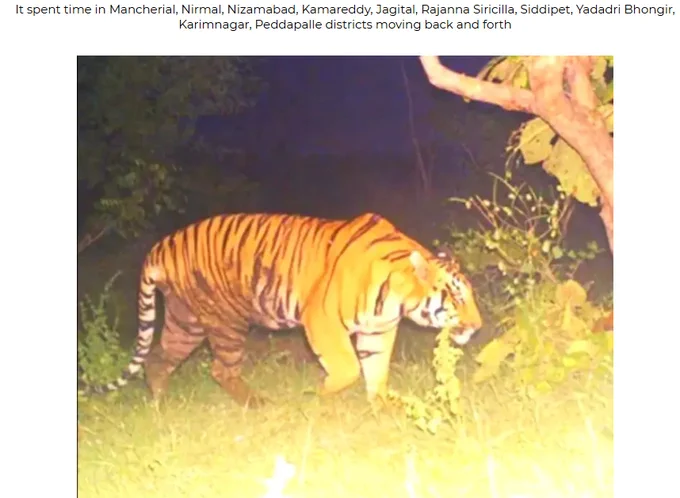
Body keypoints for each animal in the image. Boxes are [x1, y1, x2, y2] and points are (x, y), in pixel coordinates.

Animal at [81, 212, 482, 407]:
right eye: (457, 296)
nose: (478, 326)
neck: (397, 295)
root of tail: (160, 245)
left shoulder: (378, 330)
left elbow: (376, 369)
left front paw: (383, 404)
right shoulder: (321, 321)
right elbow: (349, 368)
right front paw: (317, 395)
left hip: (186, 320)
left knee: (158, 358)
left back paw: (159, 404)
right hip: (225, 321)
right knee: (220, 369)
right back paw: (256, 403)